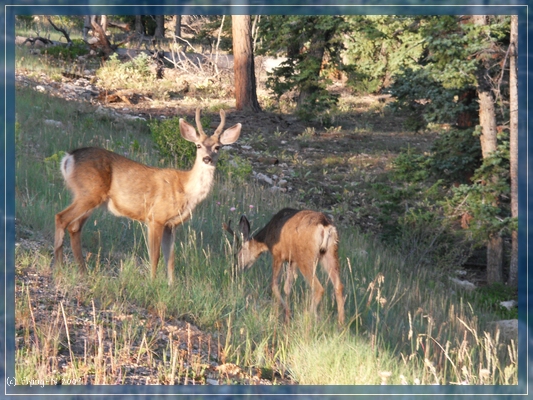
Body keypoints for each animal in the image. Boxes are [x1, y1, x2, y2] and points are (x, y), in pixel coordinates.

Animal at [54, 108, 241, 284]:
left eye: (218, 147)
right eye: (198, 146)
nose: (207, 159)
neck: (186, 190)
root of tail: (68, 158)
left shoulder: (171, 225)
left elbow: (171, 259)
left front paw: (171, 285)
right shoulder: (155, 217)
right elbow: (155, 255)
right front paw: (152, 282)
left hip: (89, 198)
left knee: (74, 227)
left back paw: (82, 271)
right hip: (89, 193)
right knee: (61, 218)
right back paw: (60, 267)